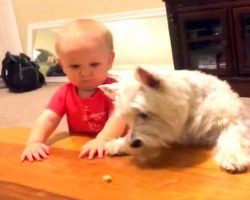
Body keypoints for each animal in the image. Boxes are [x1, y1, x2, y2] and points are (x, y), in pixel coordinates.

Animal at [100, 67, 250, 173]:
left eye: (143, 114)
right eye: (127, 118)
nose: (133, 144)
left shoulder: (231, 120)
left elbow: (232, 138)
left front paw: (232, 158)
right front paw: (117, 144)